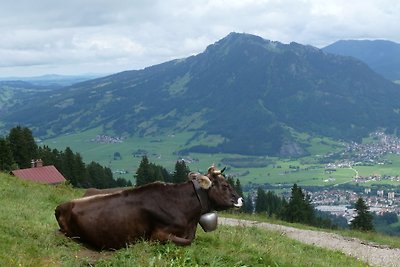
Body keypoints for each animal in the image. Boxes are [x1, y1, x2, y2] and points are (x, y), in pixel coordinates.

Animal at [54, 166, 242, 250]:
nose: (240, 199)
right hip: (69, 233)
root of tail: (61, 205)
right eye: (225, 185)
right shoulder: (159, 234)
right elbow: (187, 241)